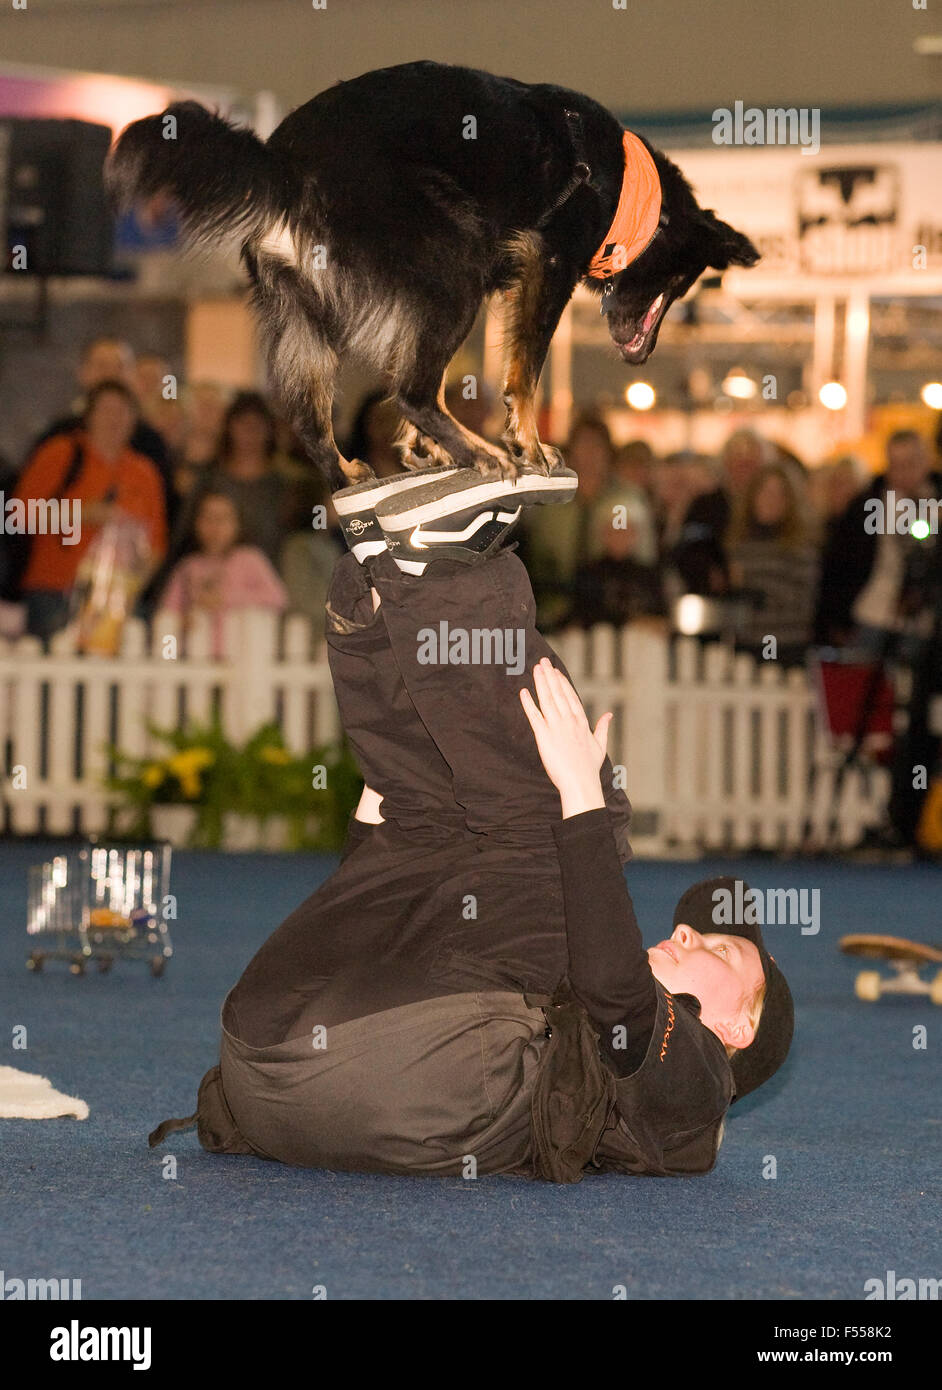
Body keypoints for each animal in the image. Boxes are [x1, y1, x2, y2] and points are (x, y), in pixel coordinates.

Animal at [109, 61, 761, 494]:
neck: (624, 187)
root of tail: (285, 164)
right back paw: (482, 452)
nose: (643, 354)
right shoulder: (545, 266)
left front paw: (423, 451)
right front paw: (526, 443)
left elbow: (458, 375)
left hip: (307, 315)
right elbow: (525, 374)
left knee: (317, 416)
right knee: (413, 388)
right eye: (683, 280)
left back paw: (351, 470)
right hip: (456, 260)